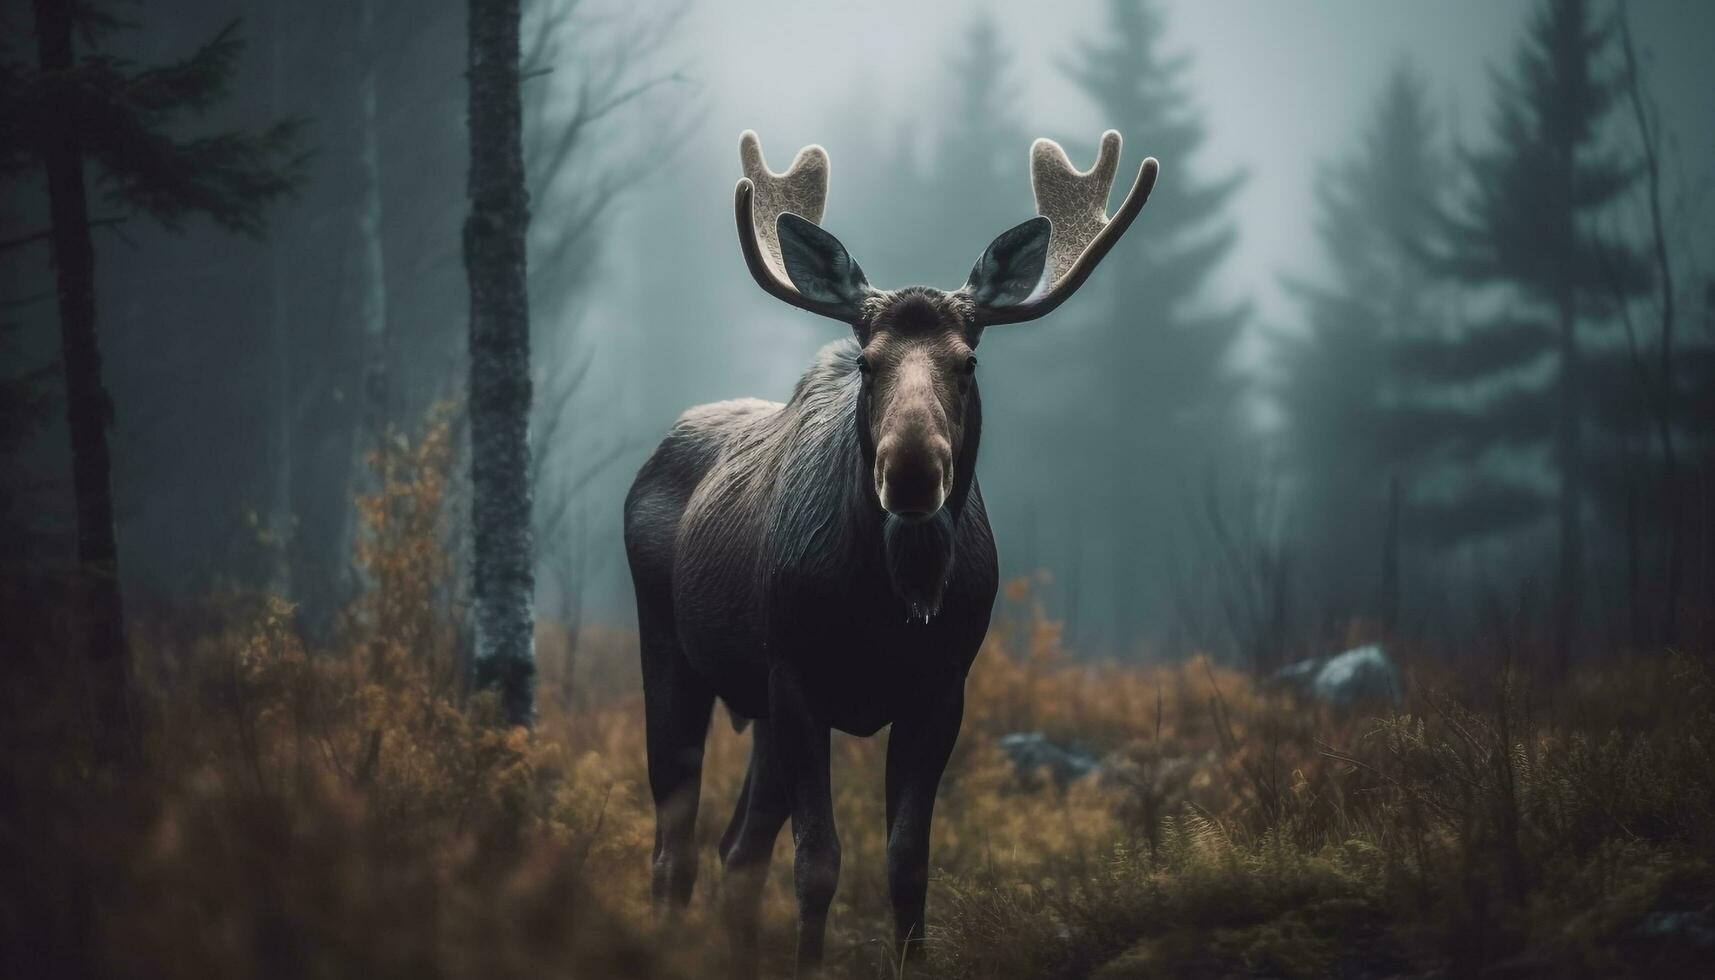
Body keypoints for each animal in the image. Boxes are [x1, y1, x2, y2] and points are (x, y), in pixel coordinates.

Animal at [624, 124, 1159, 974]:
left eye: (968, 361)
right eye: (867, 361)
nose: (910, 471)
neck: (889, 602)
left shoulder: (940, 688)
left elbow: (907, 863)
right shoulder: (797, 678)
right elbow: (818, 864)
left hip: (757, 706)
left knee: (737, 850)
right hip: (672, 652)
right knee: (673, 848)